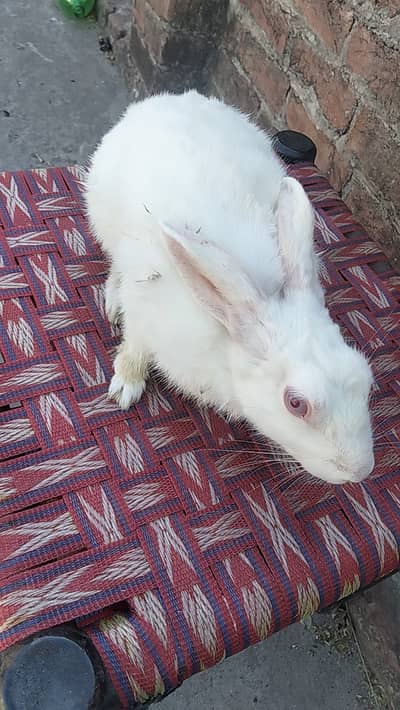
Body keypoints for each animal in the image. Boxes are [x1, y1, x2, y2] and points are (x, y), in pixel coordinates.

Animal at [85, 90, 374, 486]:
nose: (361, 471)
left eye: (366, 379)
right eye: (295, 403)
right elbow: (134, 344)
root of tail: (165, 100)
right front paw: (126, 386)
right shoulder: (144, 307)